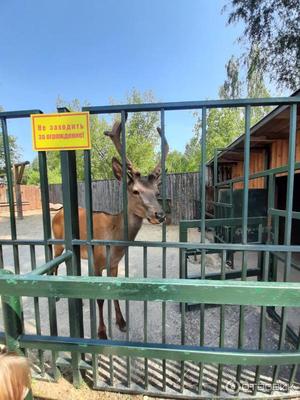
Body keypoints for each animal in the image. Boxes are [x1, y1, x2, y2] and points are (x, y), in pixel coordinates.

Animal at [51, 120, 169, 340]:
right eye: (135, 191)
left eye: (157, 192)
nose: (160, 214)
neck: (114, 243)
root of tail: (58, 211)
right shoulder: (97, 262)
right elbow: (99, 299)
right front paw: (102, 332)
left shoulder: (114, 264)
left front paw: (121, 322)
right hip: (58, 241)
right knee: (53, 261)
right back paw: (54, 296)